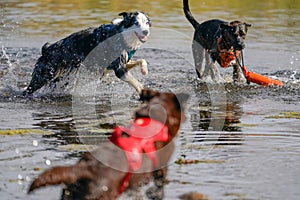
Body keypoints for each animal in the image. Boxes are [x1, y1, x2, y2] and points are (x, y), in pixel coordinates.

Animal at [22, 11, 151, 95]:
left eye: (146, 23)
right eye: (136, 23)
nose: (146, 32)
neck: (122, 34)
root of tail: (47, 49)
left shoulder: (122, 64)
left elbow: (142, 60)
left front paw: (144, 70)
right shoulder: (119, 69)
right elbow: (137, 83)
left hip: (62, 77)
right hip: (43, 76)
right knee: (28, 90)